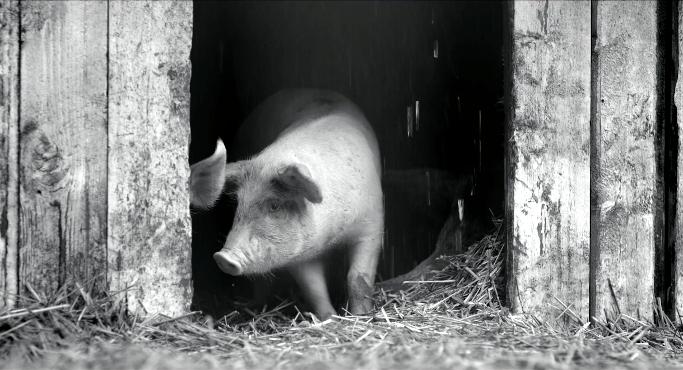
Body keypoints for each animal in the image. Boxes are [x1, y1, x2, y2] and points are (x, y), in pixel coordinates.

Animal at [190, 89, 384, 318]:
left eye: (274, 205)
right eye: (239, 204)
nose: (223, 258)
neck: (332, 234)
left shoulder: (372, 225)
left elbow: (358, 278)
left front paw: (360, 315)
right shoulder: (298, 255)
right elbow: (313, 289)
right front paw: (329, 318)